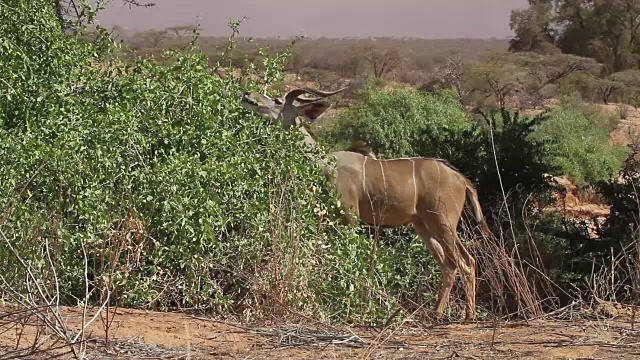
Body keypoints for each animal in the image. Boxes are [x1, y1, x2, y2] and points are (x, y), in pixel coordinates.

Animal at [240, 86, 490, 320]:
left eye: (277, 100)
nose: (247, 96)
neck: (325, 164)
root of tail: (461, 180)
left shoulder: (349, 218)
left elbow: (349, 261)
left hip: (442, 222)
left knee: (465, 261)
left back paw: (468, 315)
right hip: (423, 226)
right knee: (448, 265)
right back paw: (436, 313)